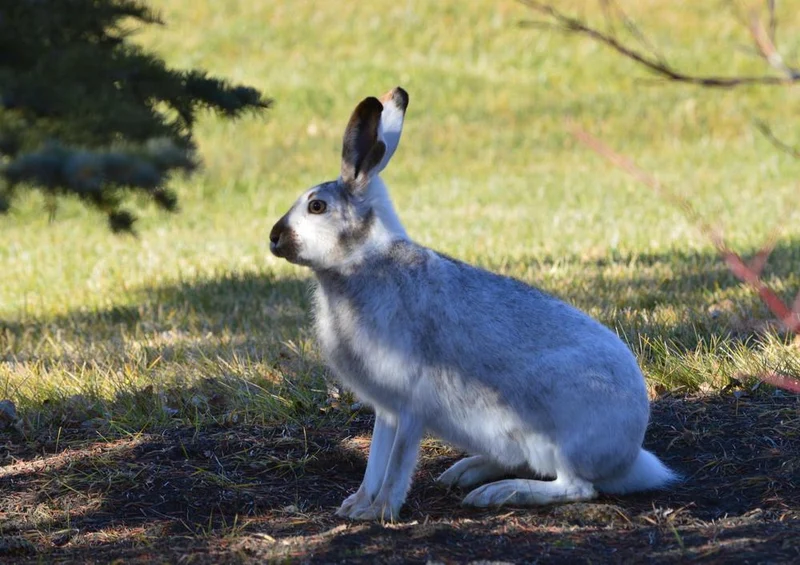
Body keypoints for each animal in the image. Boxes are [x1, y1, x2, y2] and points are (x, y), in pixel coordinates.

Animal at [269, 86, 678, 521]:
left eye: (317, 207)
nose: (273, 238)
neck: (362, 262)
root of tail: (630, 452)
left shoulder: (411, 404)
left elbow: (395, 464)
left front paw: (382, 512)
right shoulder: (387, 409)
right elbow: (375, 460)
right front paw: (356, 507)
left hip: (559, 431)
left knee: (576, 486)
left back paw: (496, 493)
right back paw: (465, 472)